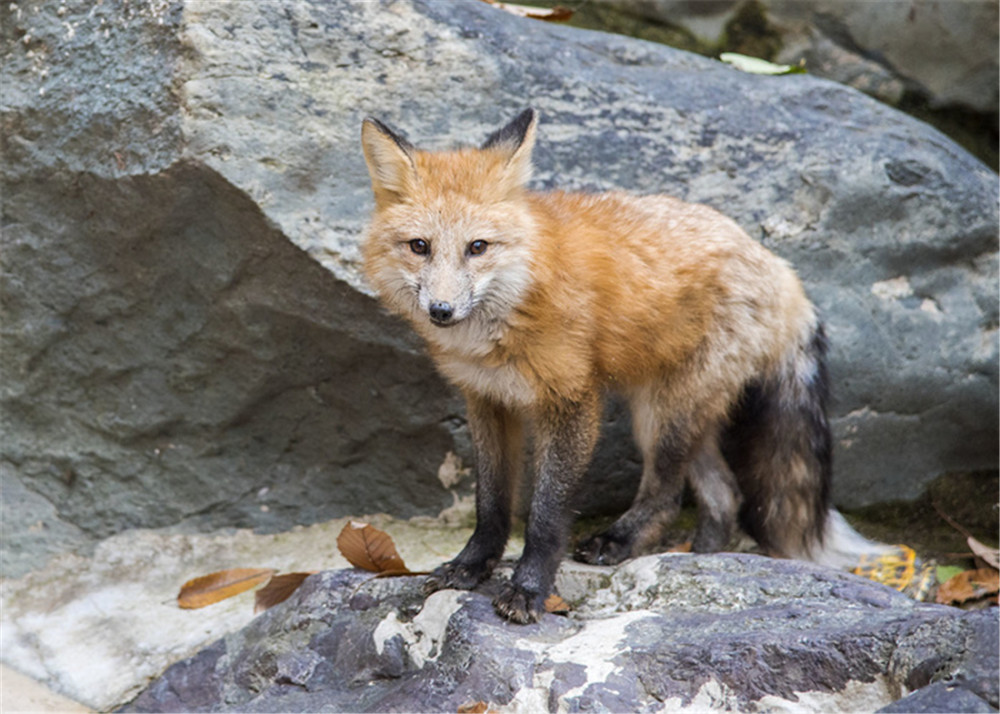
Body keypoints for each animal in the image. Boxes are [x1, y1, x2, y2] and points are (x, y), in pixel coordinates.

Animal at [360, 107, 884, 624]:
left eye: (478, 247)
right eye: (419, 246)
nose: (441, 311)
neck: (515, 301)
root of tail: (781, 269)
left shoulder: (572, 399)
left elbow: (546, 514)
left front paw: (529, 589)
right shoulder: (488, 400)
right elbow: (491, 503)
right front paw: (471, 566)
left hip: (663, 416)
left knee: (668, 497)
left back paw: (621, 542)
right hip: (675, 414)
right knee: (724, 497)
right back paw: (704, 561)